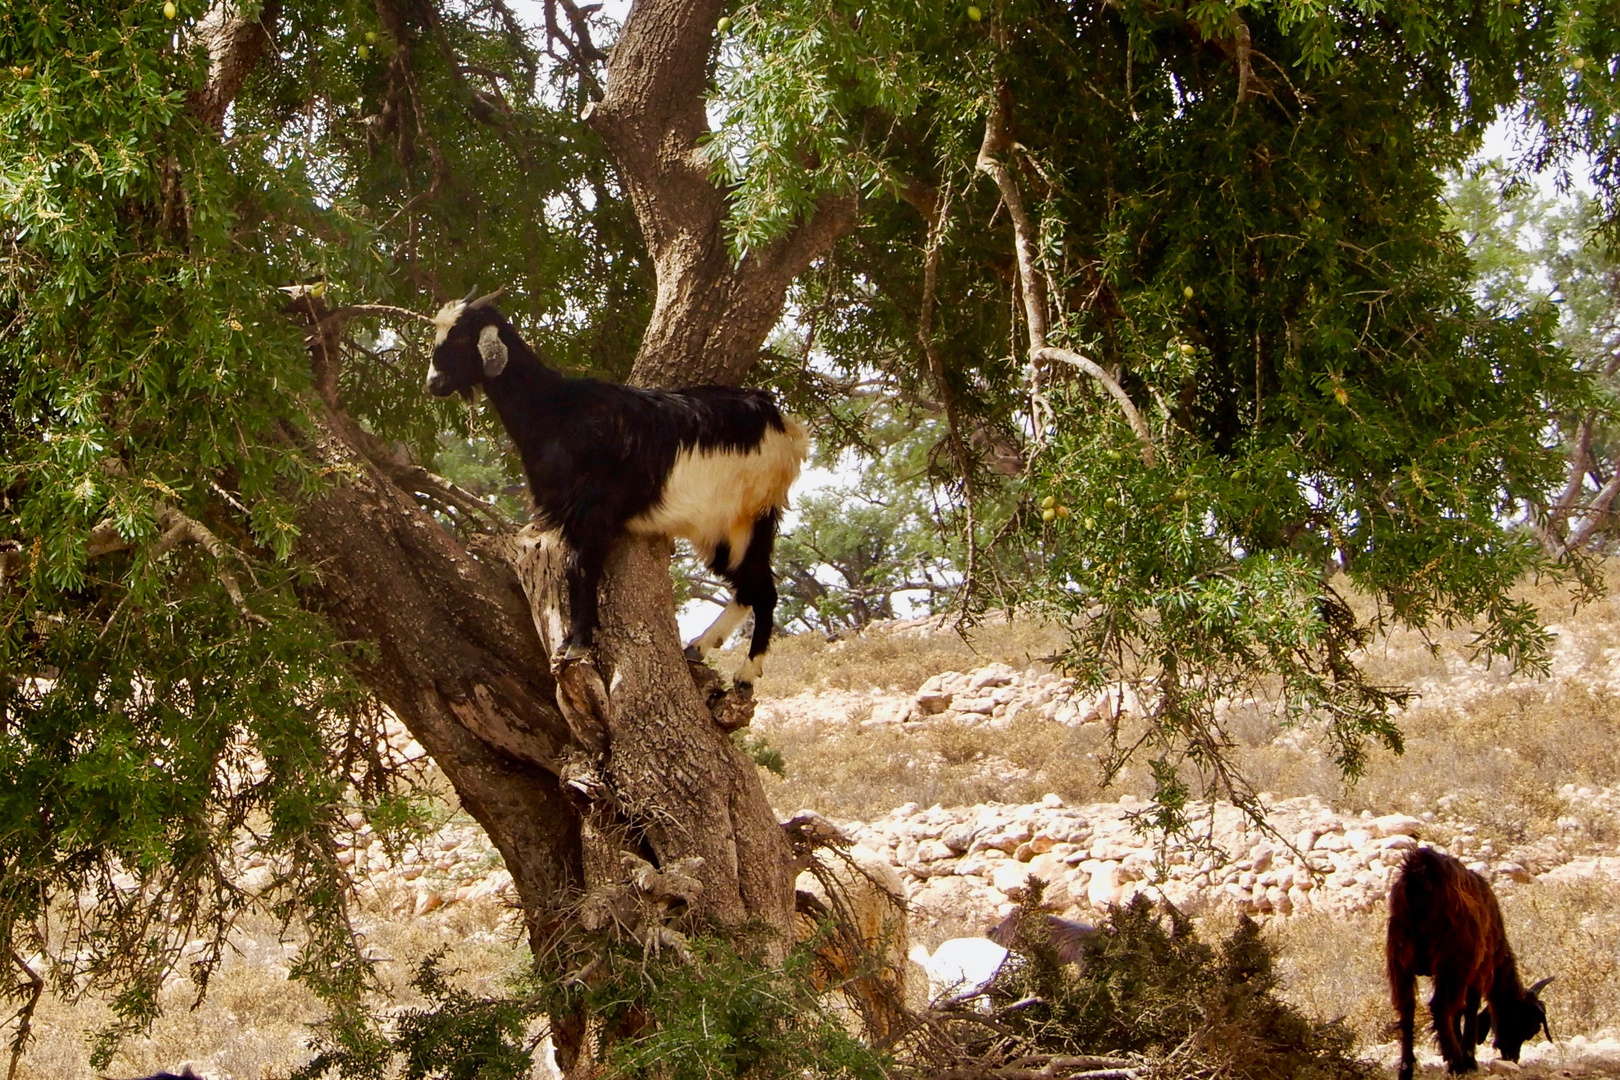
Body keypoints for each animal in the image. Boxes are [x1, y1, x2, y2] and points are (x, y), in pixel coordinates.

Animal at [421, 291, 806, 689]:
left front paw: (577, 643)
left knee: (764, 590)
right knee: (748, 586)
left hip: (748, 515)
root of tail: (783, 425)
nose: (433, 383)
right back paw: (699, 646)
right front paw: (575, 640)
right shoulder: (573, 515)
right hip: (720, 529)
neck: (556, 410)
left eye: (460, 339)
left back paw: (746, 674)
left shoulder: (590, 509)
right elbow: (573, 568)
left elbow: (581, 567)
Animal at [1386, 848, 1548, 1075]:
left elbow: (1458, 1009)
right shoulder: (1480, 969)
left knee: (1407, 1008)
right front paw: (1468, 1058)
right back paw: (1457, 1063)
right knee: (1439, 1006)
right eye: (1530, 1027)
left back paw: (1406, 1068)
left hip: (1400, 958)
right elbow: (1470, 1007)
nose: (1512, 1057)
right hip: (1453, 959)